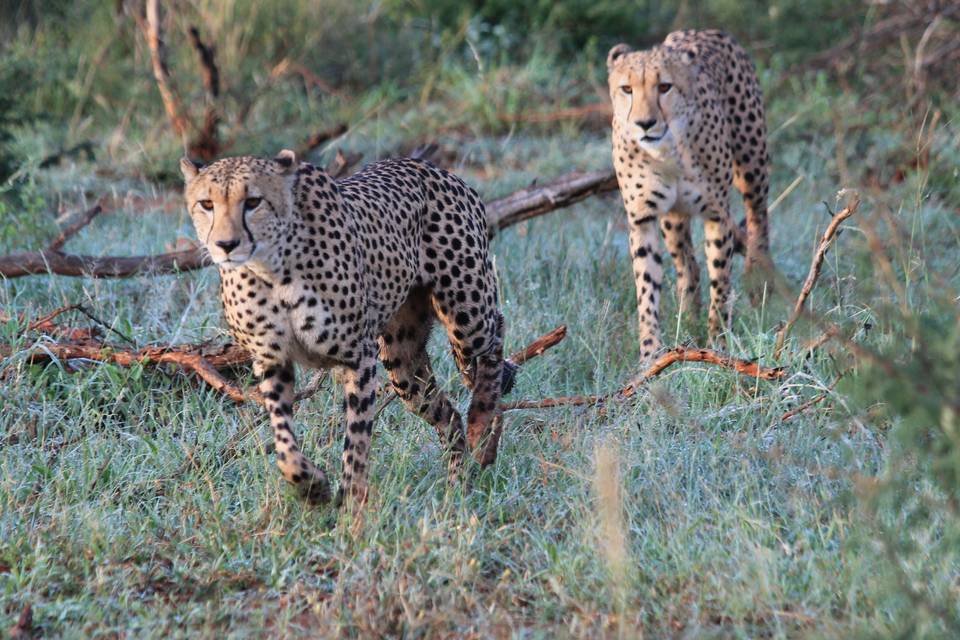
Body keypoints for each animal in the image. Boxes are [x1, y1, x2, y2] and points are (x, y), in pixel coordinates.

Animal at [181, 150, 516, 504]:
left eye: (253, 202)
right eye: (206, 204)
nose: (226, 244)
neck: (268, 268)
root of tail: (433, 168)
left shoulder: (358, 357)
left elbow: (356, 438)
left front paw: (352, 503)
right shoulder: (272, 360)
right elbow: (284, 444)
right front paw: (312, 486)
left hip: (466, 313)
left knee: (496, 334)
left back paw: (482, 423)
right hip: (403, 362)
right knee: (446, 412)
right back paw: (458, 485)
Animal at [608, 30, 772, 360]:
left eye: (665, 87)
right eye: (627, 89)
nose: (644, 124)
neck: (667, 152)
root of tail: (704, 31)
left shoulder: (716, 214)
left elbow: (720, 280)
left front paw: (719, 342)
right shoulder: (643, 219)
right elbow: (646, 287)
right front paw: (650, 354)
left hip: (752, 163)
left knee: (758, 216)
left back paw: (757, 280)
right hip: (672, 218)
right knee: (688, 267)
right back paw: (687, 316)